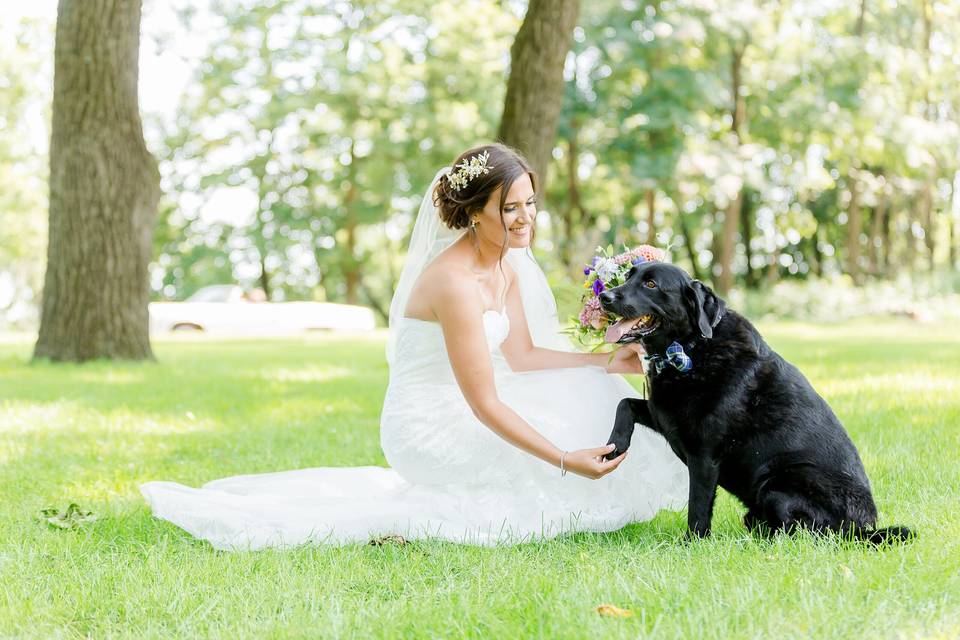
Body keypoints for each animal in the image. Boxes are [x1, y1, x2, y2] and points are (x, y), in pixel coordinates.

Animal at [600, 262, 908, 544]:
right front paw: (615, 445)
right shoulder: (664, 415)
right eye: (628, 276)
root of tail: (862, 529)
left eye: (651, 284)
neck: (692, 349)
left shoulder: (704, 455)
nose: (604, 296)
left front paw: (691, 544)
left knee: (804, 535)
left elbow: (698, 507)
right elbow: (624, 403)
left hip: (777, 487)